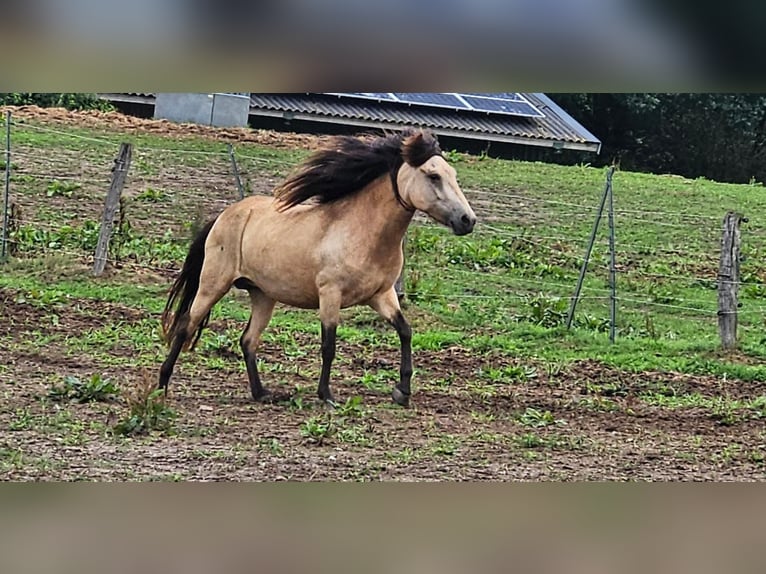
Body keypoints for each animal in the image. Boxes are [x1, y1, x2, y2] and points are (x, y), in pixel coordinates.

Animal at [159, 127, 476, 408]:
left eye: (453, 175)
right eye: (433, 175)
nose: (467, 220)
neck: (360, 231)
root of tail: (224, 215)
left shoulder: (381, 295)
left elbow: (405, 331)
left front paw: (402, 392)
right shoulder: (330, 294)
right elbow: (329, 345)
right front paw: (327, 396)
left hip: (263, 295)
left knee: (248, 340)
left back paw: (262, 394)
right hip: (213, 284)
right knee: (185, 326)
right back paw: (162, 386)